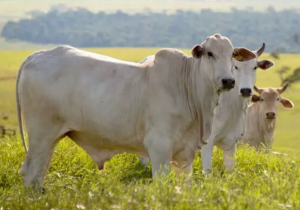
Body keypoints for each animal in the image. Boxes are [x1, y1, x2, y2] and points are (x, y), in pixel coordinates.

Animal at [16, 33, 255, 189]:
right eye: (210, 53)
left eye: (232, 55)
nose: (228, 81)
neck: (188, 88)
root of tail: (35, 56)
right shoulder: (159, 149)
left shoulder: (185, 155)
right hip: (40, 135)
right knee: (30, 174)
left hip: (50, 140)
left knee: (38, 174)